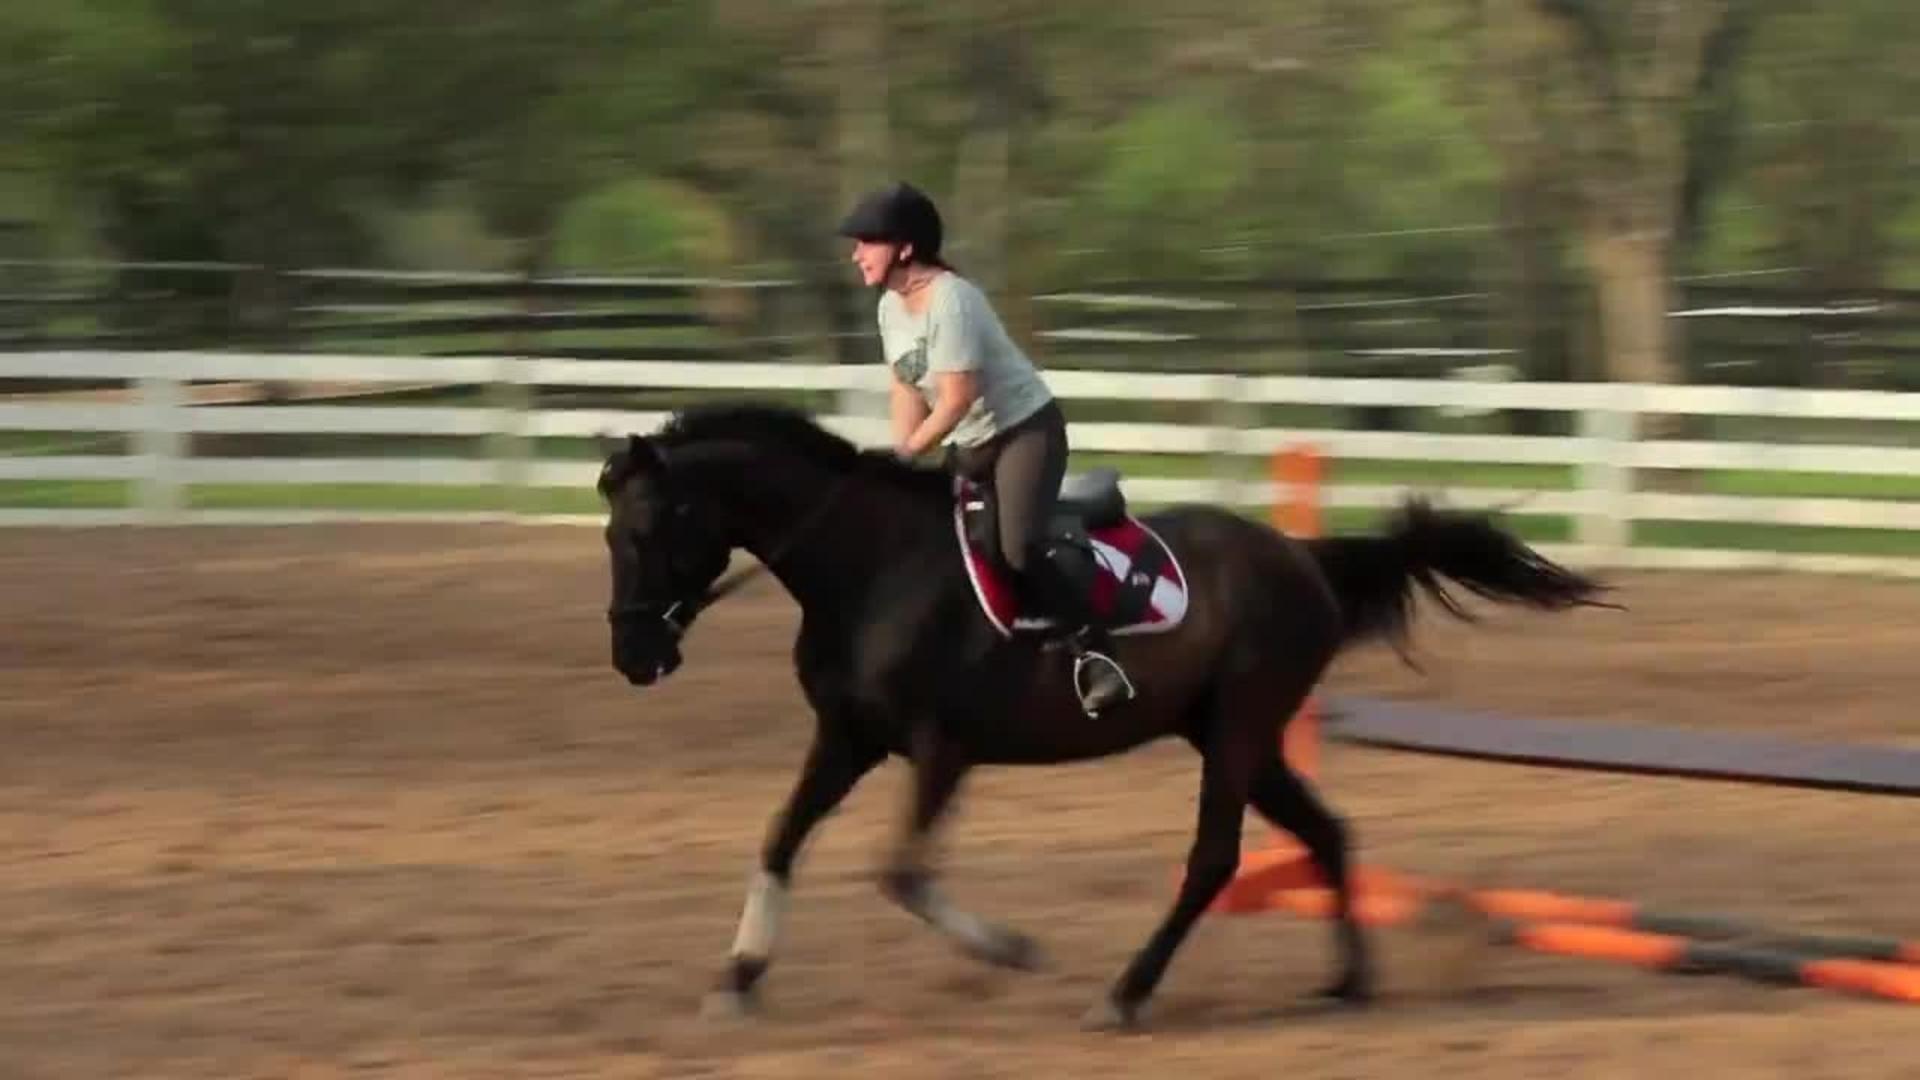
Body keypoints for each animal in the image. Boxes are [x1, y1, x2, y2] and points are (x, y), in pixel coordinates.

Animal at [596, 400, 1615, 1031]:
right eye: (610, 535)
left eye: (649, 530)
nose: (635, 659)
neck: (871, 570)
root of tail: (1302, 557)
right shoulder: (849, 738)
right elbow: (780, 838)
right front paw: (737, 981)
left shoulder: (941, 750)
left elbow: (902, 873)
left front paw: (1013, 949)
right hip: (1235, 732)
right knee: (1325, 832)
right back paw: (1348, 980)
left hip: (1239, 727)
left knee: (1215, 859)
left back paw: (1125, 995)